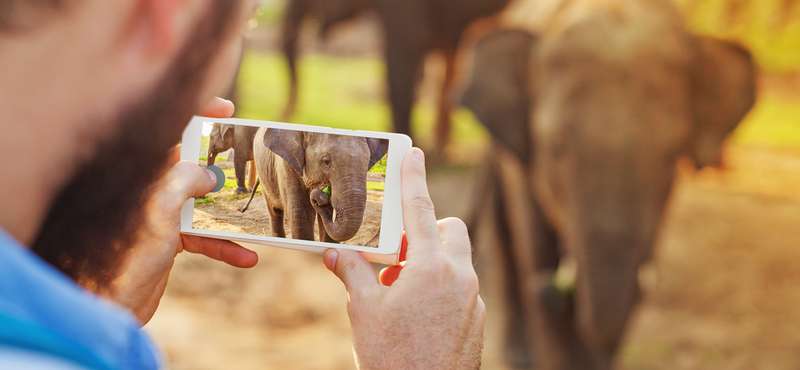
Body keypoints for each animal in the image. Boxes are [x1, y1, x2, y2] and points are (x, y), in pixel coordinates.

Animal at [245, 127, 390, 243]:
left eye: (368, 162)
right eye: (326, 162)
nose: (321, 195)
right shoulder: (286, 165)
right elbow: (300, 219)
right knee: (275, 212)